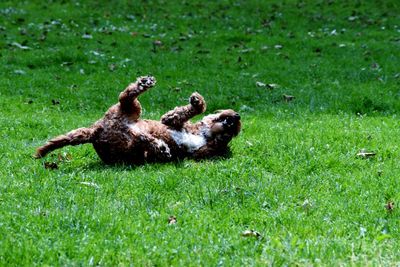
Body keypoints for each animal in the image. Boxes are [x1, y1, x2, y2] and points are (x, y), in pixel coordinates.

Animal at [35, 76, 241, 165]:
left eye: (231, 133)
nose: (236, 117)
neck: (204, 135)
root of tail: (95, 131)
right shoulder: (176, 123)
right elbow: (184, 113)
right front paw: (196, 102)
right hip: (130, 111)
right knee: (125, 97)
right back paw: (144, 83)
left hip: (127, 146)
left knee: (140, 137)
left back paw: (159, 145)